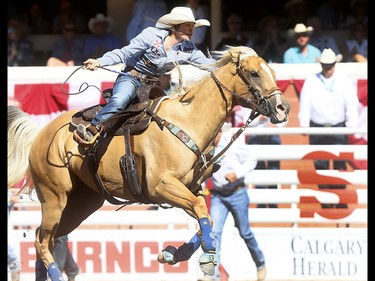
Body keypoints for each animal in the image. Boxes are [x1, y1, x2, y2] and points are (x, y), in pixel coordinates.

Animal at [7, 45, 292, 278]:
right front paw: (208, 257)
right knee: (42, 241)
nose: (283, 109)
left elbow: (205, 218)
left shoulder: (189, 188)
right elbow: (202, 210)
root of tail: (40, 134)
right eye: (254, 73)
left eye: (271, 71)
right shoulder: (160, 187)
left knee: (44, 238)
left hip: (83, 202)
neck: (187, 120)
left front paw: (172, 254)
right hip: (55, 197)